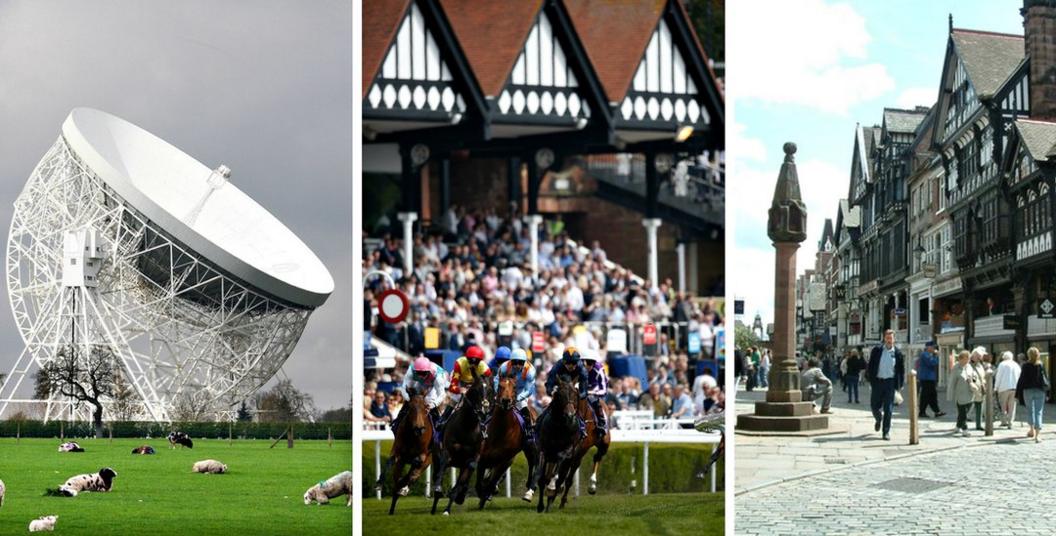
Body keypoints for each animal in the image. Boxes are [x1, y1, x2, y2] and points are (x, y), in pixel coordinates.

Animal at [430, 369, 487, 514]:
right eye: (476, 390)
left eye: (490, 389)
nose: (482, 412)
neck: (467, 426)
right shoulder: (447, 452)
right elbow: (443, 465)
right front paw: (438, 489)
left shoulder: (473, 457)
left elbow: (469, 470)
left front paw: (450, 504)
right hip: (437, 457)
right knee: (438, 472)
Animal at [481, 375, 544, 508]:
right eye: (500, 386)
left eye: (514, 387)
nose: (506, 401)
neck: (501, 429)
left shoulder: (507, 455)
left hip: (531, 447)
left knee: (534, 462)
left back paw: (529, 490)